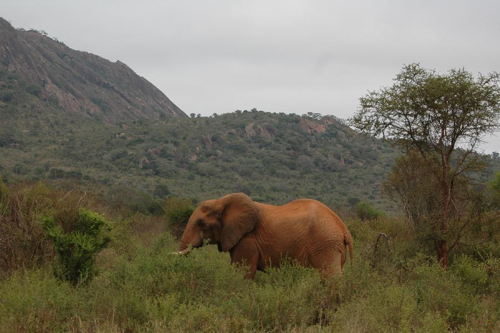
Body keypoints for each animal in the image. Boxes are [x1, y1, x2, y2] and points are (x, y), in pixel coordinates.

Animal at [176, 192, 352, 278]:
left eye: (202, 223)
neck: (220, 201)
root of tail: (343, 227)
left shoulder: (247, 240)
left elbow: (243, 273)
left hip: (325, 244)